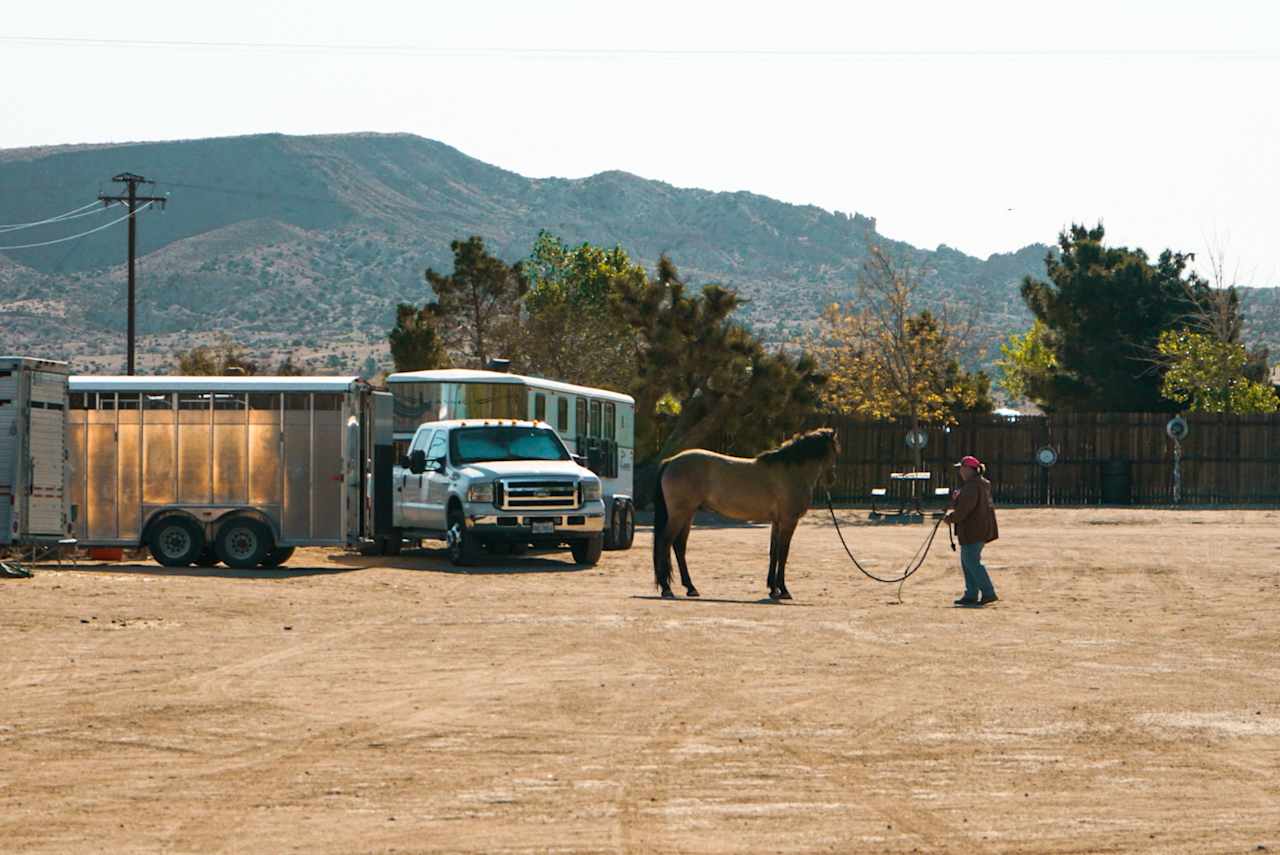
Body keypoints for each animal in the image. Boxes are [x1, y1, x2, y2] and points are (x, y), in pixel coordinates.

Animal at [650, 427, 839, 601]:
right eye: (835, 451)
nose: (832, 479)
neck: (790, 471)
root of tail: (671, 461)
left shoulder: (777, 522)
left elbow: (774, 552)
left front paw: (773, 590)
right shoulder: (788, 521)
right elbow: (783, 554)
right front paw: (784, 590)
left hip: (687, 514)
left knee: (679, 546)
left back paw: (690, 587)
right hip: (679, 514)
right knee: (665, 542)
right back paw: (667, 589)